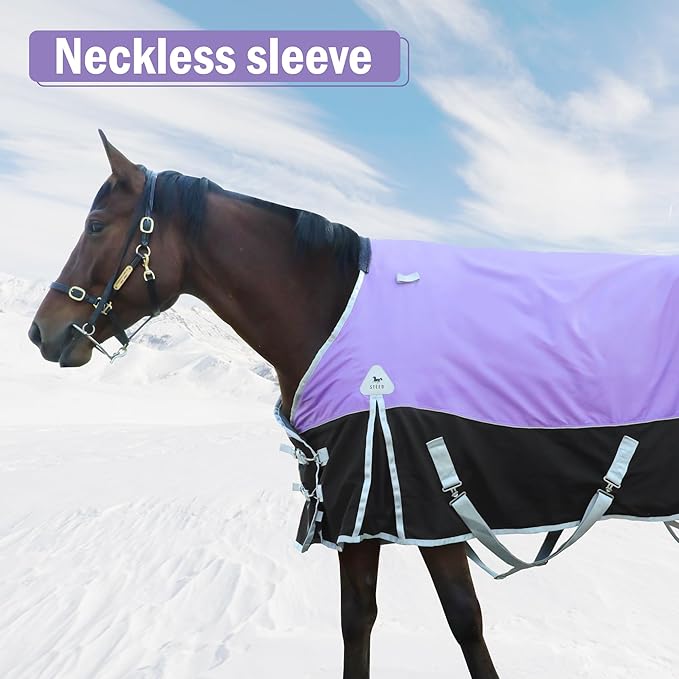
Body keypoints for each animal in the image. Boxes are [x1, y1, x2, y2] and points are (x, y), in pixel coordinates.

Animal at [29, 132, 499, 679]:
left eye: (96, 225)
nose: (40, 330)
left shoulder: (427, 515)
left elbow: (461, 620)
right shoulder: (359, 519)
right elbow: (358, 619)